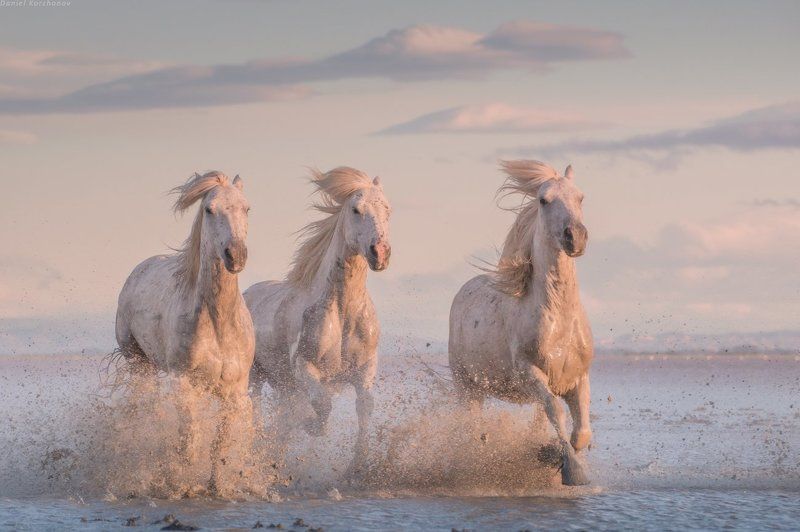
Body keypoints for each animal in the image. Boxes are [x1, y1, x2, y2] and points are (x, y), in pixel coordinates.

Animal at [114, 172, 253, 492]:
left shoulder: (235, 392)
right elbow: (188, 441)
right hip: (139, 364)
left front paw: (217, 485)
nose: (235, 256)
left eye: (247, 208)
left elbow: (220, 445)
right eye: (209, 209)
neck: (218, 323)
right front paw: (179, 484)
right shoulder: (184, 383)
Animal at [245, 166, 392, 474]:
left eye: (388, 209)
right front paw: (309, 425)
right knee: (256, 406)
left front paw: (357, 465)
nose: (380, 253)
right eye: (356, 209)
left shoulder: (365, 369)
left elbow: (365, 407)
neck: (343, 312)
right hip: (257, 375)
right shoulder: (305, 367)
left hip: (283, 384)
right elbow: (322, 406)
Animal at [450, 159, 592, 486]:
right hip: (467, 385)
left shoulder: (577, 377)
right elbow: (556, 411)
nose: (575, 238)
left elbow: (581, 432)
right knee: (471, 424)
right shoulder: (530, 373)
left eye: (580, 197)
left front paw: (549, 455)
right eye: (543, 200)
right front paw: (569, 468)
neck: (559, 321)